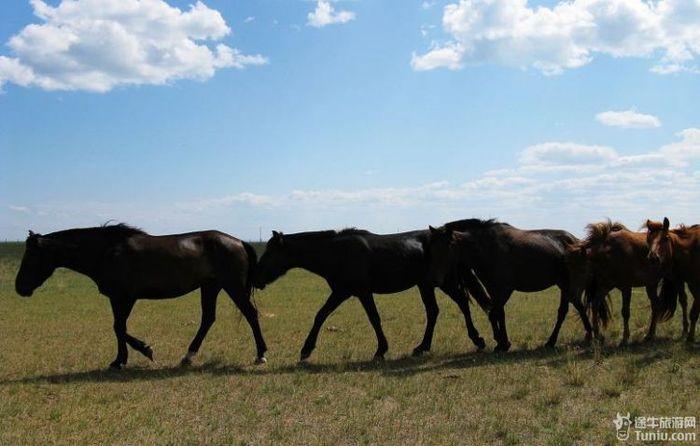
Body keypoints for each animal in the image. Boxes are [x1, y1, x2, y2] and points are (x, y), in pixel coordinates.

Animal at [16, 223, 268, 370]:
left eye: (30, 256)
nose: (19, 287)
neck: (107, 251)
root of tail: (239, 241)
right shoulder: (117, 299)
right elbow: (118, 327)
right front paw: (121, 359)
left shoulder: (125, 297)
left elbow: (119, 328)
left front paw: (143, 351)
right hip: (210, 287)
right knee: (208, 319)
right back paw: (187, 357)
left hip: (232, 286)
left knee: (251, 314)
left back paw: (261, 355)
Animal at [253, 226, 492, 362]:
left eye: (270, 252)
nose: (257, 278)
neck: (337, 253)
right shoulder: (343, 292)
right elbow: (321, 315)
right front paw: (307, 349)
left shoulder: (358, 291)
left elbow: (372, 318)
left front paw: (381, 350)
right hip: (427, 285)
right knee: (436, 311)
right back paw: (423, 347)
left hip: (444, 282)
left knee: (461, 303)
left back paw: (476, 339)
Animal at [424, 220, 592, 352]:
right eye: (431, 249)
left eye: (446, 247)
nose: (435, 279)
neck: (488, 249)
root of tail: (576, 241)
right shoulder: (493, 290)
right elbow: (498, 314)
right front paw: (502, 342)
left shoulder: (505, 290)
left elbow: (494, 313)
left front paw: (502, 342)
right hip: (563, 285)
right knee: (571, 308)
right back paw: (567, 338)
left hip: (566, 284)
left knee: (572, 308)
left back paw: (583, 336)